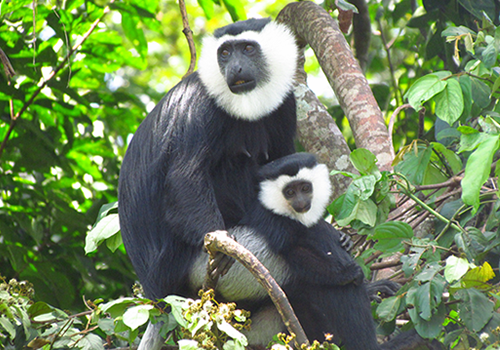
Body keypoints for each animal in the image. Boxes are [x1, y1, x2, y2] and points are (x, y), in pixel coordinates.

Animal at [118, 18, 296, 350]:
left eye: (248, 49)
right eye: (224, 53)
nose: (235, 68)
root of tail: (156, 294)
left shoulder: (285, 104)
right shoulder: (202, 107)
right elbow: (185, 176)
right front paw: (223, 245)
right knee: (232, 162)